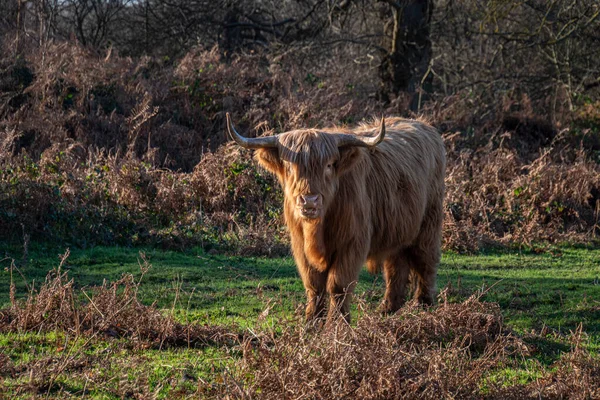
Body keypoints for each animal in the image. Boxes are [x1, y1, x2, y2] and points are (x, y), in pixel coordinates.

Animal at [225, 113, 446, 322]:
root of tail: (426, 127)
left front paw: (338, 323)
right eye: (289, 166)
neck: (318, 227)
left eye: (329, 165)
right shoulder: (299, 244)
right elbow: (314, 285)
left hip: (429, 223)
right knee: (395, 267)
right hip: (398, 229)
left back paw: (423, 306)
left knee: (426, 261)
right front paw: (312, 322)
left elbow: (338, 285)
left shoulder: (352, 243)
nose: (310, 200)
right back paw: (387, 309)